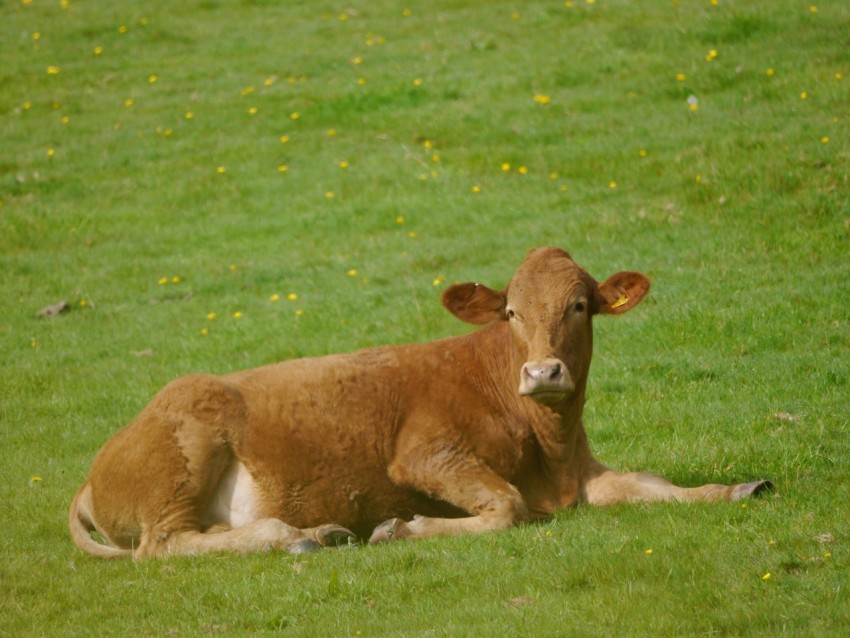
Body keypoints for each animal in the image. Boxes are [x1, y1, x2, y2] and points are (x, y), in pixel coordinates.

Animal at [68, 250, 768, 560]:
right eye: (511, 312)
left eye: (579, 305)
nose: (543, 372)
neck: (549, 443)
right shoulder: (424, 455)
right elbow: (506, 507)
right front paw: (402, 527)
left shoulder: (584, 475)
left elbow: (651, 483)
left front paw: (739, 487)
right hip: (185, 448)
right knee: (164, 545)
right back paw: (300, 536)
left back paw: (319, 532)